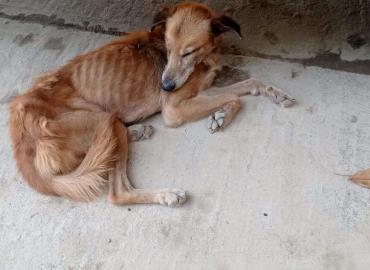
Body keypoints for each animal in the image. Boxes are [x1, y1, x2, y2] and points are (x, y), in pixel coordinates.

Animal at [7, 1, 294, 207]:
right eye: (168, 47)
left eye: (188, 51)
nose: (165, 86)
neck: (202, 60)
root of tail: (21, 130)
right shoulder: (174, 109)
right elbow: (234, 97)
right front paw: (222, 115)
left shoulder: (202, 89)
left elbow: (250, 83)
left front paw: (273, 94)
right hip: (101, 120)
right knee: (117, 193)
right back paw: (167, 195)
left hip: (107, 125)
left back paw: (137, 132)